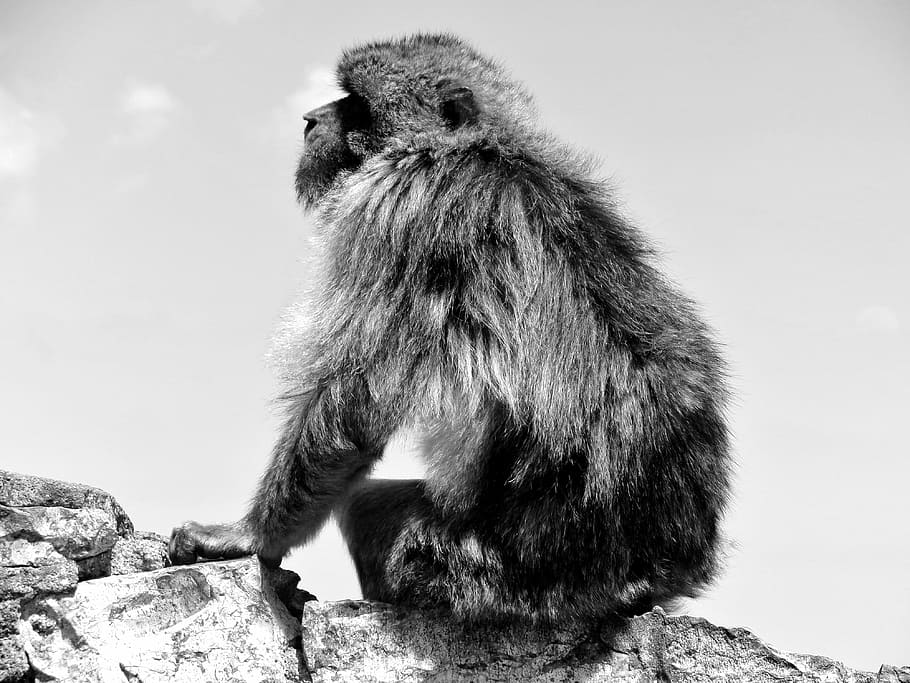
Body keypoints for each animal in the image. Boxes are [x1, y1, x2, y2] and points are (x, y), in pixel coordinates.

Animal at [169, 33, 732, 623]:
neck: (475, 147)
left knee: (370, 507)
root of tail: (651, 572)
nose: (309, 119)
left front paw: (250, 535)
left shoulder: (396, 207)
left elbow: (358, 397)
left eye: (356, 103)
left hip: (476, 569)